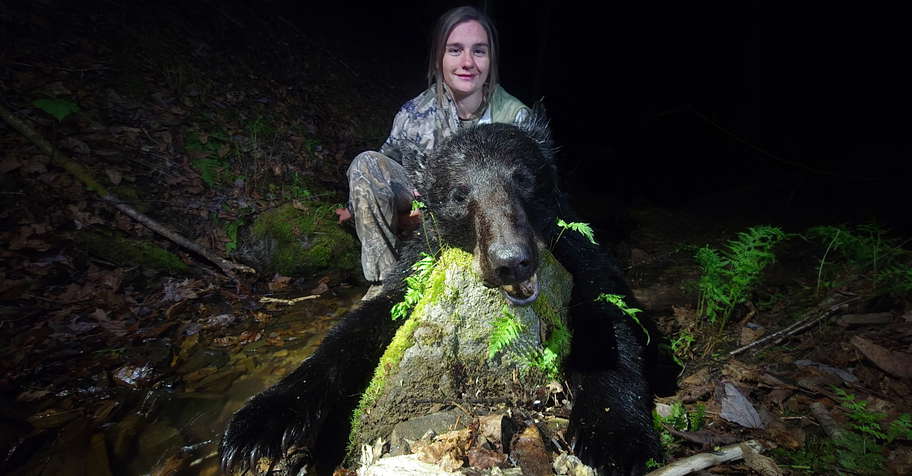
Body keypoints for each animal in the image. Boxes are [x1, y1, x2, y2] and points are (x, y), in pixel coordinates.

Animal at [220, 112, 663, 475]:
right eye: (459, 194)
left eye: (522, 179)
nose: (511, 261)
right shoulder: (416, 269)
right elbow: (359, 328)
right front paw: (259, 423)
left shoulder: (581, 254)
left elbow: (611, 318)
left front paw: (613, 436)